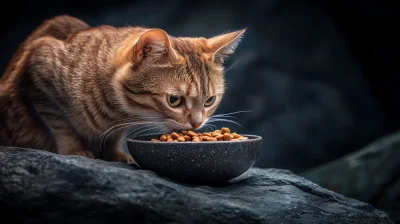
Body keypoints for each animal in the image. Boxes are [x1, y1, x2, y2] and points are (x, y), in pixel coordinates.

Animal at [0, 15, 245, 163]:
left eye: (209, 100)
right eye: (174, 100)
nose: (197, 124)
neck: (116, 112)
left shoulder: (118, 126)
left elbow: (114, 136)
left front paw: (114, 154)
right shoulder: (38, 73)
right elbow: (60, 124)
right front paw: (73, 150)